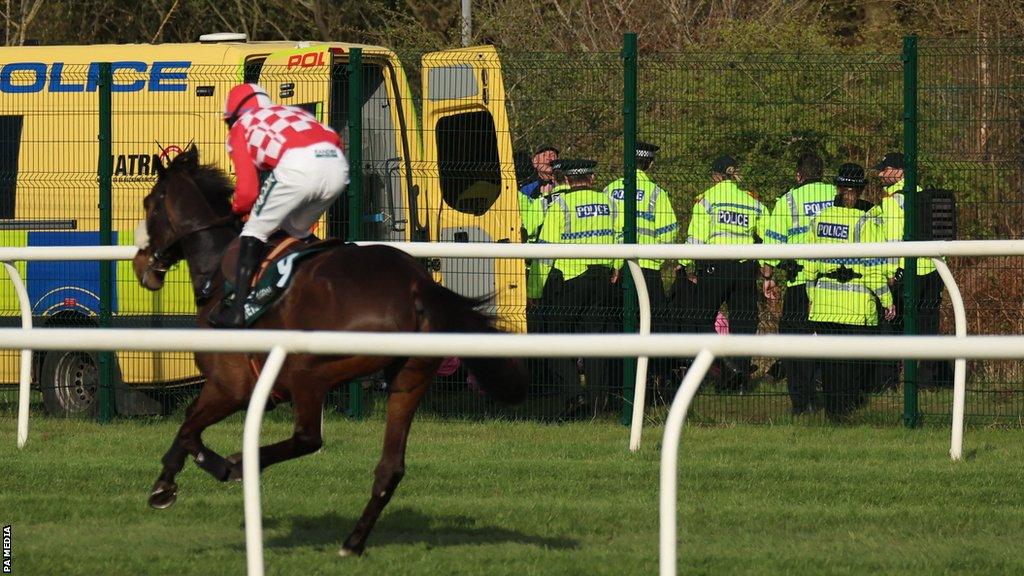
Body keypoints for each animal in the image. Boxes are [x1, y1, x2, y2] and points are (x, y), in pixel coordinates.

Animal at [133, 145, 532, 553]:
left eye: (150, 204)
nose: (141, 264)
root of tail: (416, 285)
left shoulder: (229, 387)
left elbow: (188, 429)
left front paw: (209, 470)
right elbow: (187, 424)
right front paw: (162, 485)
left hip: (308, 371)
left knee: (309, 438)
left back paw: (241, 463)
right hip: (410, 377)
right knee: (390, 467)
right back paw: (353, 542)